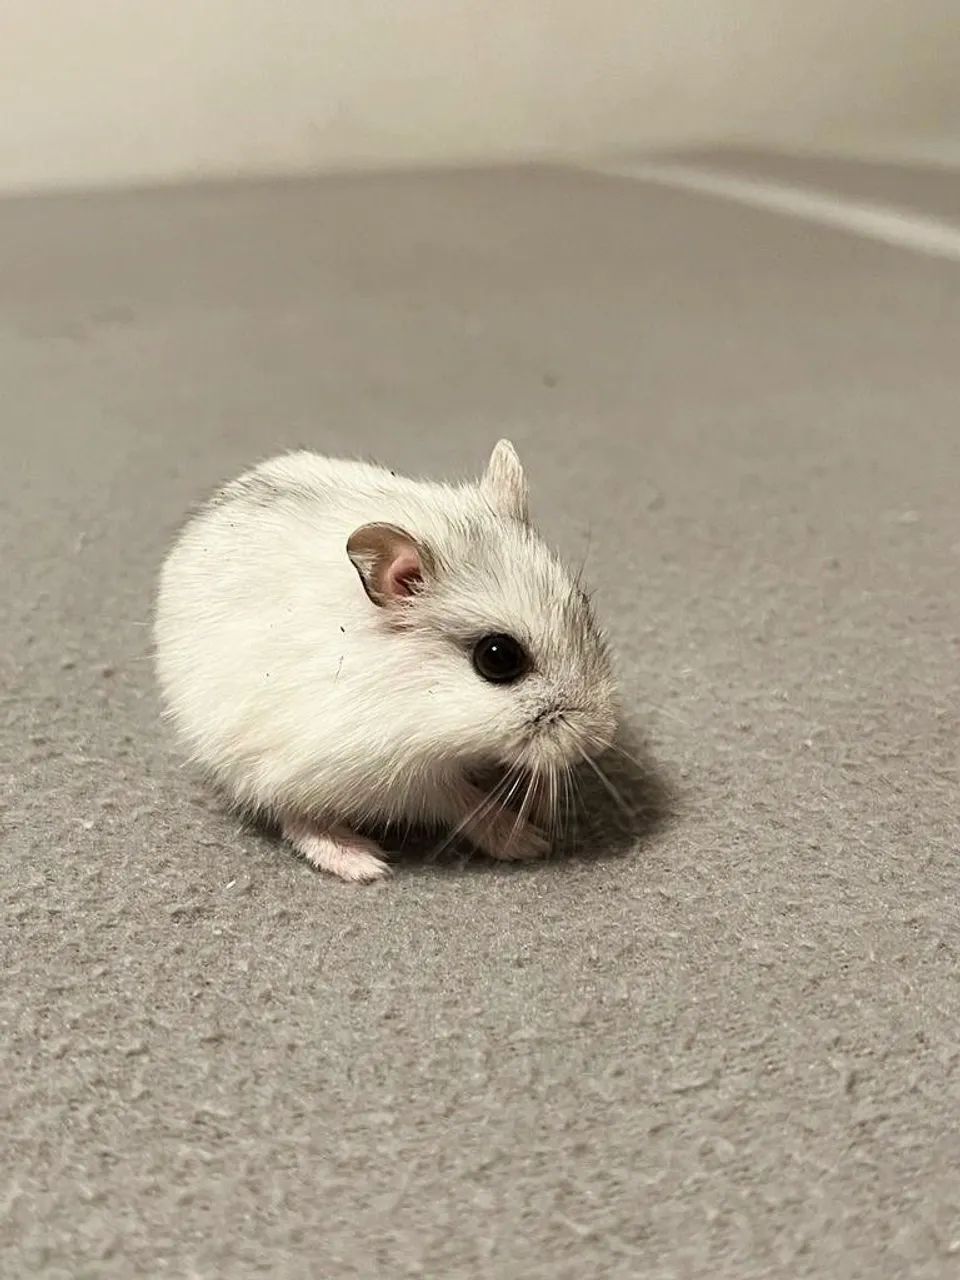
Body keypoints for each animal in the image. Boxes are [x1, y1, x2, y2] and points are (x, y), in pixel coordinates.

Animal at [154, 441, 618, 882]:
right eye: (498, 658)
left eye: (583, 603)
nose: (601, 738)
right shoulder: (406, 779)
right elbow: (463, 802)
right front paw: (529, 841)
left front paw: (540, 805)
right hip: (259, 766)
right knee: (293, 816)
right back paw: (359, 862)